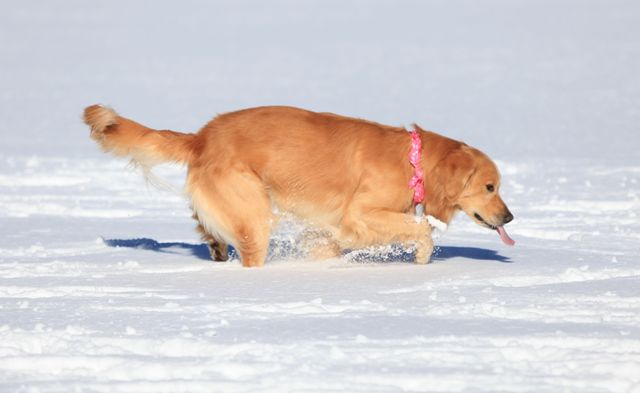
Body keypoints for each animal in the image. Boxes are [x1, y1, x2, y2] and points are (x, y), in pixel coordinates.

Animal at [85, 105, 516, 266]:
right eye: (490, 187)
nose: (510, 216)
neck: (414, 160)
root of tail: (202, 137)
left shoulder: (329, 230)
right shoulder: (359, 215)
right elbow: (421, 228)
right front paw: (424, 258)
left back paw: (215, 247)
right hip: (253, 214)